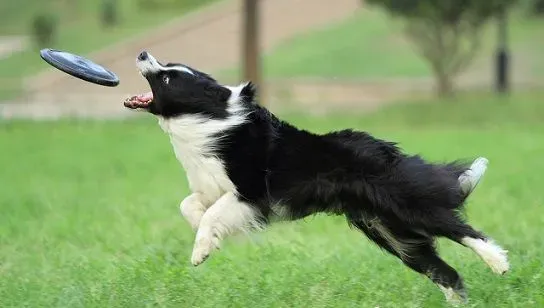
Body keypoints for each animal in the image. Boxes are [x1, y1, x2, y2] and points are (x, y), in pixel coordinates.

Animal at [125, 51, 508, 304]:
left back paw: (498, 261)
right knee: (442, 269)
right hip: (390, 231)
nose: (143, 53)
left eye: (168, 77)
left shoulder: (250, 194)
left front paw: (201, 250)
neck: (207, 121)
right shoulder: (211, 186)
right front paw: (204, 234)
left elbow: (213, 215)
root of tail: (388, 150)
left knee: (460, 228)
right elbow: (190, 205)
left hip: (405, 205)